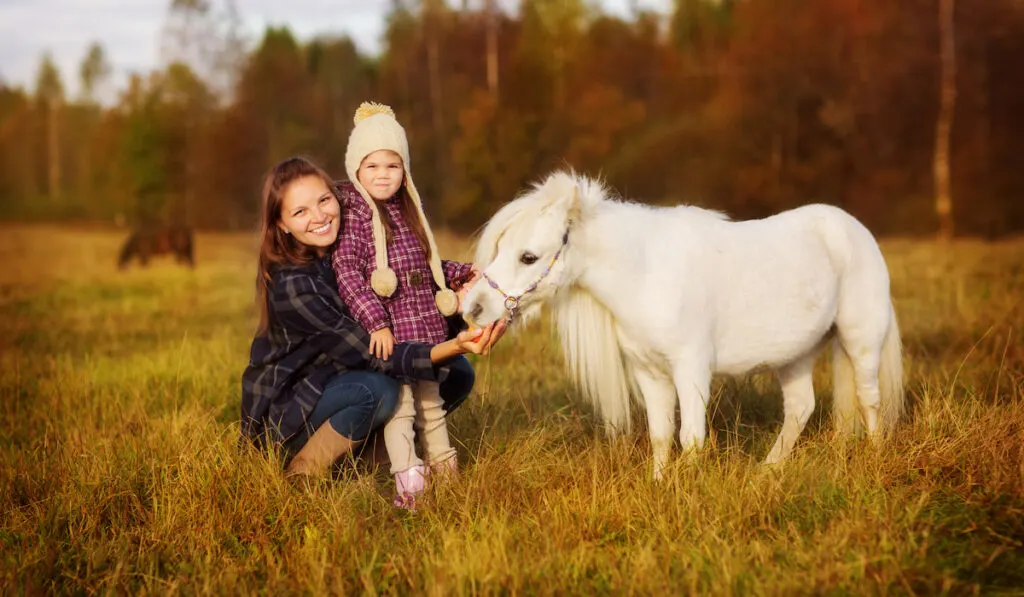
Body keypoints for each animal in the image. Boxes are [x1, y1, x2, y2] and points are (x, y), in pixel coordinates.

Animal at [464, 171, 905, 479]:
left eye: (528, 257)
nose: (473, 306)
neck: (646, 272)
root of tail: (855, 230)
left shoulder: (691, 369)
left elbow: (690, 438)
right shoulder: (648, 372)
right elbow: (661, 435)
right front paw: (660, 486)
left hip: (861, 341)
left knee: (870, 400)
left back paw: (876, 457)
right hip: (794, 355)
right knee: (800, 408)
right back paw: (768, 470)